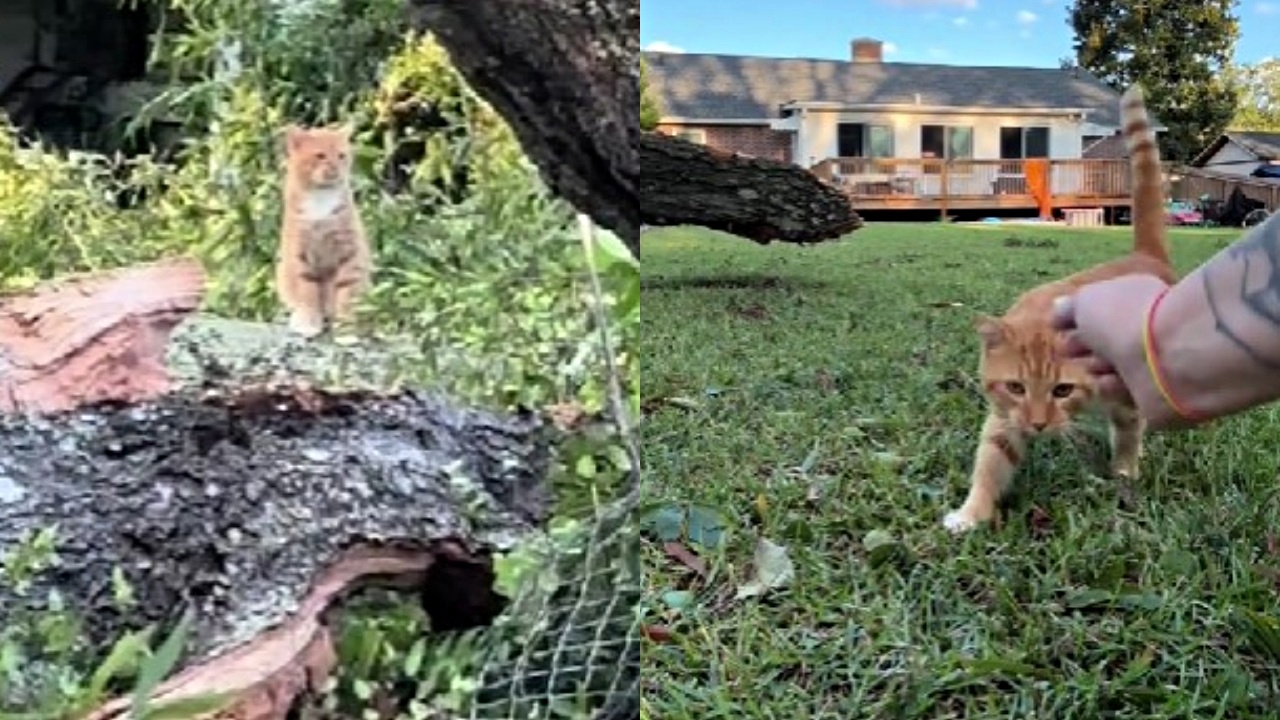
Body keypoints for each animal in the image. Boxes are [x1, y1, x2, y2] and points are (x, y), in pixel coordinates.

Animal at [272, 121, 368, 338]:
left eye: (341, 155)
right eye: (320, 155)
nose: (336, 168)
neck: (320, 197)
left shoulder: (350, 250)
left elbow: (346, 289)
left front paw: (346, 328)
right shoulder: (299, 251)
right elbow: (307, 290)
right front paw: (307, 322)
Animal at [947, 85, 1172, 532]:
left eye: (1062, 390)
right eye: (1016, 387)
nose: (1037, 425)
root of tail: (1145, 255)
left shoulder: (1124, 397)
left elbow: (1128, 434)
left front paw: (1124, 477)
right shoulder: (1004, 417)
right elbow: (990, 463)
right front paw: (970, 514)